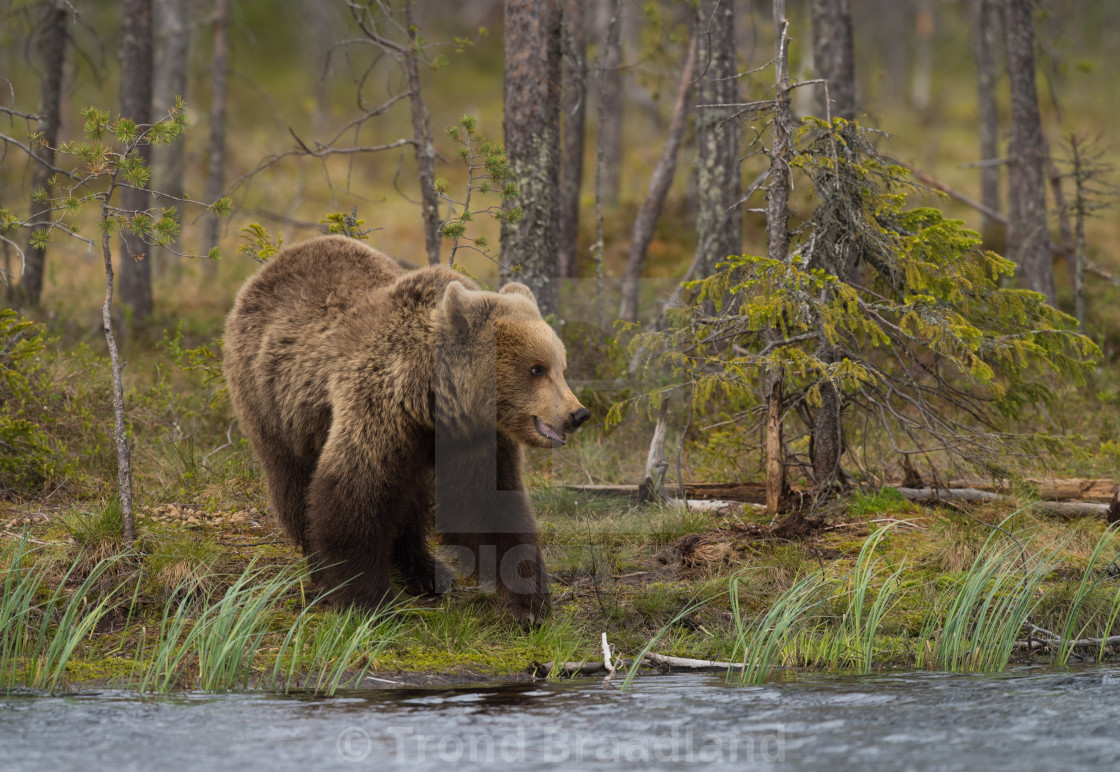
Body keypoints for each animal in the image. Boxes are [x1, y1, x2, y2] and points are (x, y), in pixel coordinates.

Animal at [222, 235, 591, 618]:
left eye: (560, 366)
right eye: (536, 369)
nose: (577, 414)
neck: (435, 402)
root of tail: (268, 269)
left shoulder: (473, 439)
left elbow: (487, 504)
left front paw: (527, 602)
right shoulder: (381, 411)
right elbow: (353, 496)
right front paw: (369, 598)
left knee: (411, 503)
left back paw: (428, 571)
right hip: (273, 406)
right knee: (293, 486)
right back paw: (324, 569)